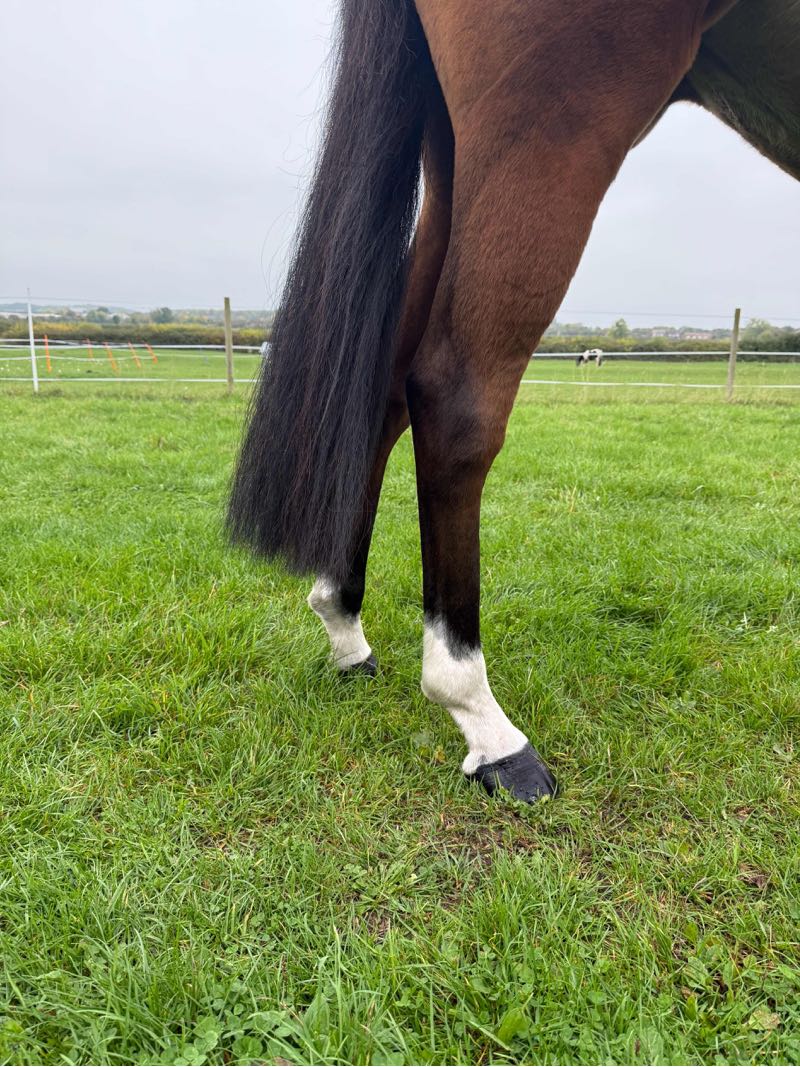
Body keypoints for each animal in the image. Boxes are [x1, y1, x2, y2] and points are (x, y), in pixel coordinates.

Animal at [229, 0, 800, 803]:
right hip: (556, 116)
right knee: (455, 397)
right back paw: (488, 728)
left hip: (452, 151)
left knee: (388, 389)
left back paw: (344, 625)